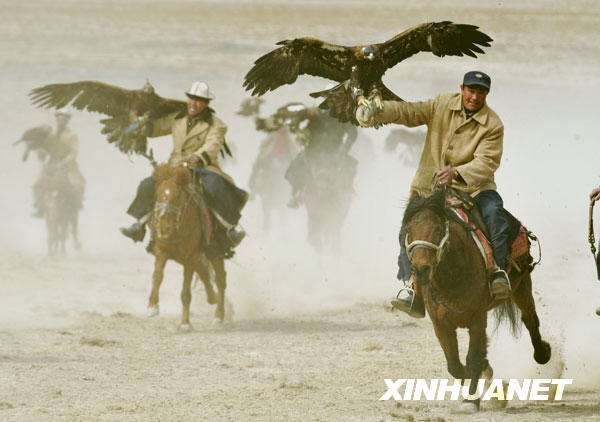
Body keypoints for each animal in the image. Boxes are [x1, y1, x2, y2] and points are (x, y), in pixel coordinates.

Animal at [147, 163, 226, 329]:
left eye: (177, 197)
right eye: (157, 194)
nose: (162, 227)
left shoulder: (189, 257)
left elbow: (185, 292)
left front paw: (185, 323)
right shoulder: (162, 252)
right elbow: (157, 276)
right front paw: (152, 307)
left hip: (214, 253)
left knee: (220, 280)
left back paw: (219, 316)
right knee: (204, 273)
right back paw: (212, 298)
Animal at [402, 187, 551, 413]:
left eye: (438, 229)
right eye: (409, 229)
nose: (420, 270)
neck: (452, 277)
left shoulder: (477, 319)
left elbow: (472, 359)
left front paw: (471, 400)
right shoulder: (440, 324)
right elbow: (455, 365)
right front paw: (489, 387)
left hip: (522, 284)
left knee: (530, 319)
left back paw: (543, 353)